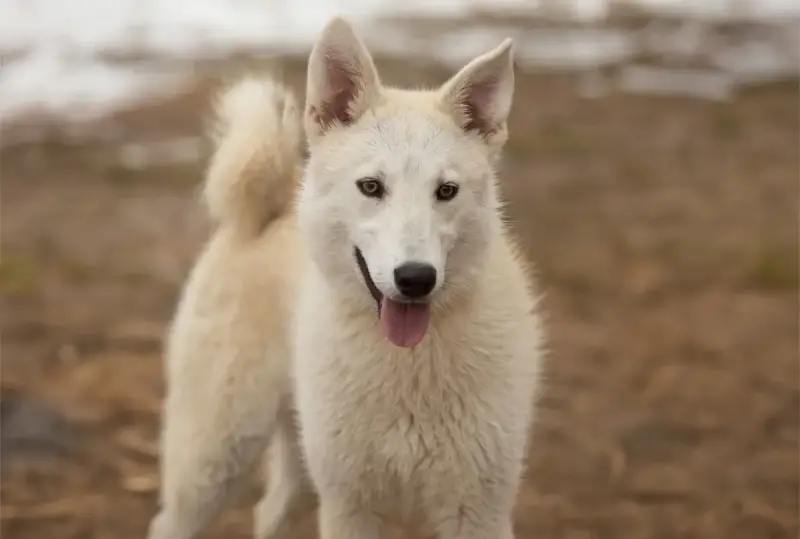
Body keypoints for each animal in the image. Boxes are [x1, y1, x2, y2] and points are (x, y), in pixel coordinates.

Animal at [146, 16, 544, 539]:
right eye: (371, 187)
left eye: (446, 191)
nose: (415, 278)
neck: (406, 368)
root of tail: (265, 215)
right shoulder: (350, 507)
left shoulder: (476, 512)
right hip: (214, 459)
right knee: (170, 520)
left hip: (294, 461)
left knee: (267, 512)